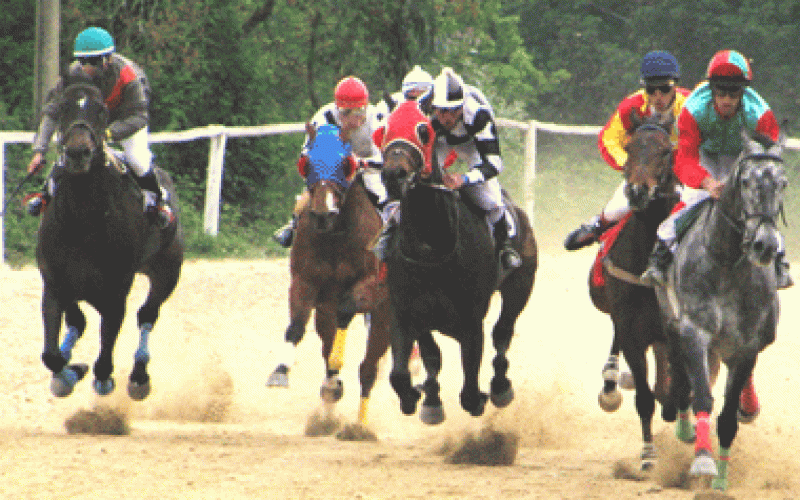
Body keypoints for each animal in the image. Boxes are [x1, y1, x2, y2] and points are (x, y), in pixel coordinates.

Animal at [268, 123, 392, 428]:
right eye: (307, 162)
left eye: (346, 164)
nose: (324, 213)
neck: (336, 235)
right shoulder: (305, 282)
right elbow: (296, 326)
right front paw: (280, 371)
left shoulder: (373, 285)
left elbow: (346, 310)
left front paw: (337, 365)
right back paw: (331, 390)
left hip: (386, 314)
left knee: (369, 368)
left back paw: (360, 425)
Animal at [376, 101, 536, 422]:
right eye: (385, 129)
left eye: (423, 131)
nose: (393, 174)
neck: (430, 251)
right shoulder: (406, 312)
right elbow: (407, 369)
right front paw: (422, 398)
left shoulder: (470, 321)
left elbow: (470, 391)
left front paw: (477, 398)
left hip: (520, 286)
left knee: (503, 332)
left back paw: (500, 386)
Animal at [584, 112, 680, 468]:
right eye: (630, 147)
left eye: (666, 151)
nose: (638, 191)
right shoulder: (631, 327)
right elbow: (645, 396)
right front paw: (649, 455)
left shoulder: (673, 329)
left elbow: (671, 390)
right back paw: (612, 381)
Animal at [656, 130, 788, 492]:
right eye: (745, 181)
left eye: (783, 183)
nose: (765, 245)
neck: (727, 261)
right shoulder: (694, 330)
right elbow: (701, 394)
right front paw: (703, 459)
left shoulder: (746, 345)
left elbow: (727, 417)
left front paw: (721, 480)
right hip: (672, 319)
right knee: (682, 372)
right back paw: (684, 423)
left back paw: (748, 404)